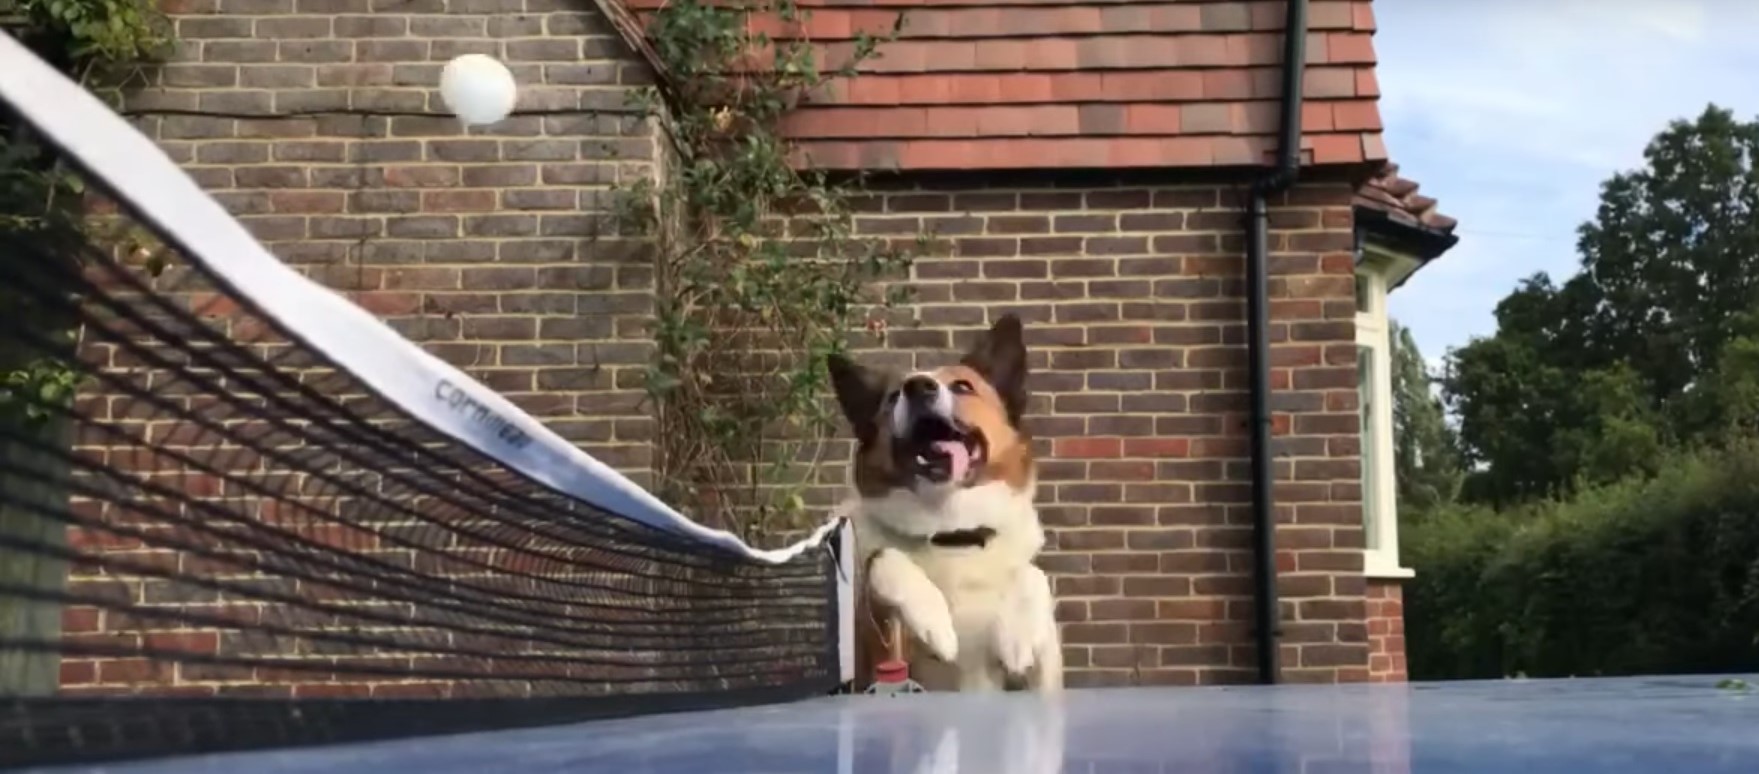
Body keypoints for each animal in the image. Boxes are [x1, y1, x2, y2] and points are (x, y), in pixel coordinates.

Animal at [830, 314, 1062, 696]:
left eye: (963, 387)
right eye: (893, 397)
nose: (917, 387)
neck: (953, 532)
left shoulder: (1043, 675)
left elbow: (1033, 573)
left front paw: (1018, 634)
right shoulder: (868, 655)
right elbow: (885, 556)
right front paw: (935, 624)